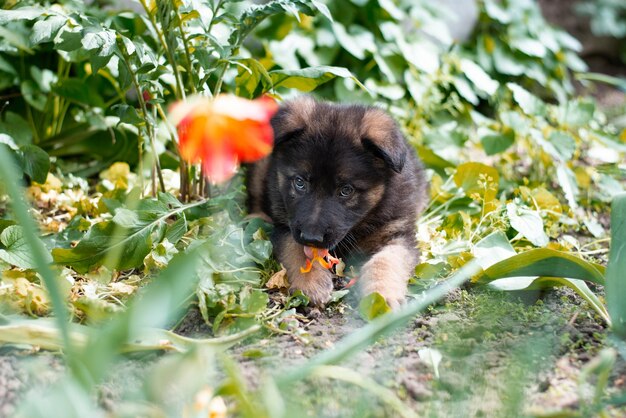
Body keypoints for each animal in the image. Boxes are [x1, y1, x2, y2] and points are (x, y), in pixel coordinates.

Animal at [246, 96, 426, 308]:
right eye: (300, 182)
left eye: (346, 190)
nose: (311, 237)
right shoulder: (285, 225)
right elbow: (297, 249)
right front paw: (311, 282)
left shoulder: (398, 233)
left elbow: (386, 261)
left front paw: (381, 296)